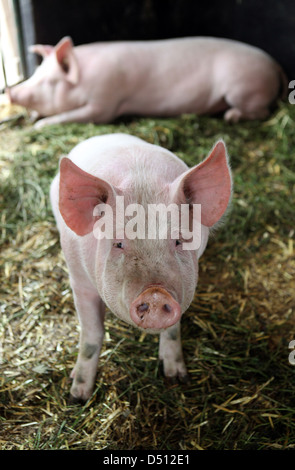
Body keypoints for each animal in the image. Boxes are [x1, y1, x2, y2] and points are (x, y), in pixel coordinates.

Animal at [8, 35, 288, 126]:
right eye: (35, 73)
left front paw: (39, 126)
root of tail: (274, 64)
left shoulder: (104, 103)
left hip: (243, 88)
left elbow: (76, 115)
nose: (10, 92)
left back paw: (230, 117)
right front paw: (33, 119)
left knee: (262, 111)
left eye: (49, 82)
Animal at [50, 134, 234, 402]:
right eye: (118, 243)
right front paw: (77, 396)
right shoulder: (78, 279)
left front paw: (176, 379)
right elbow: (92, 336)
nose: (156, 294)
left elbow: (173, 330)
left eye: (178, 240)